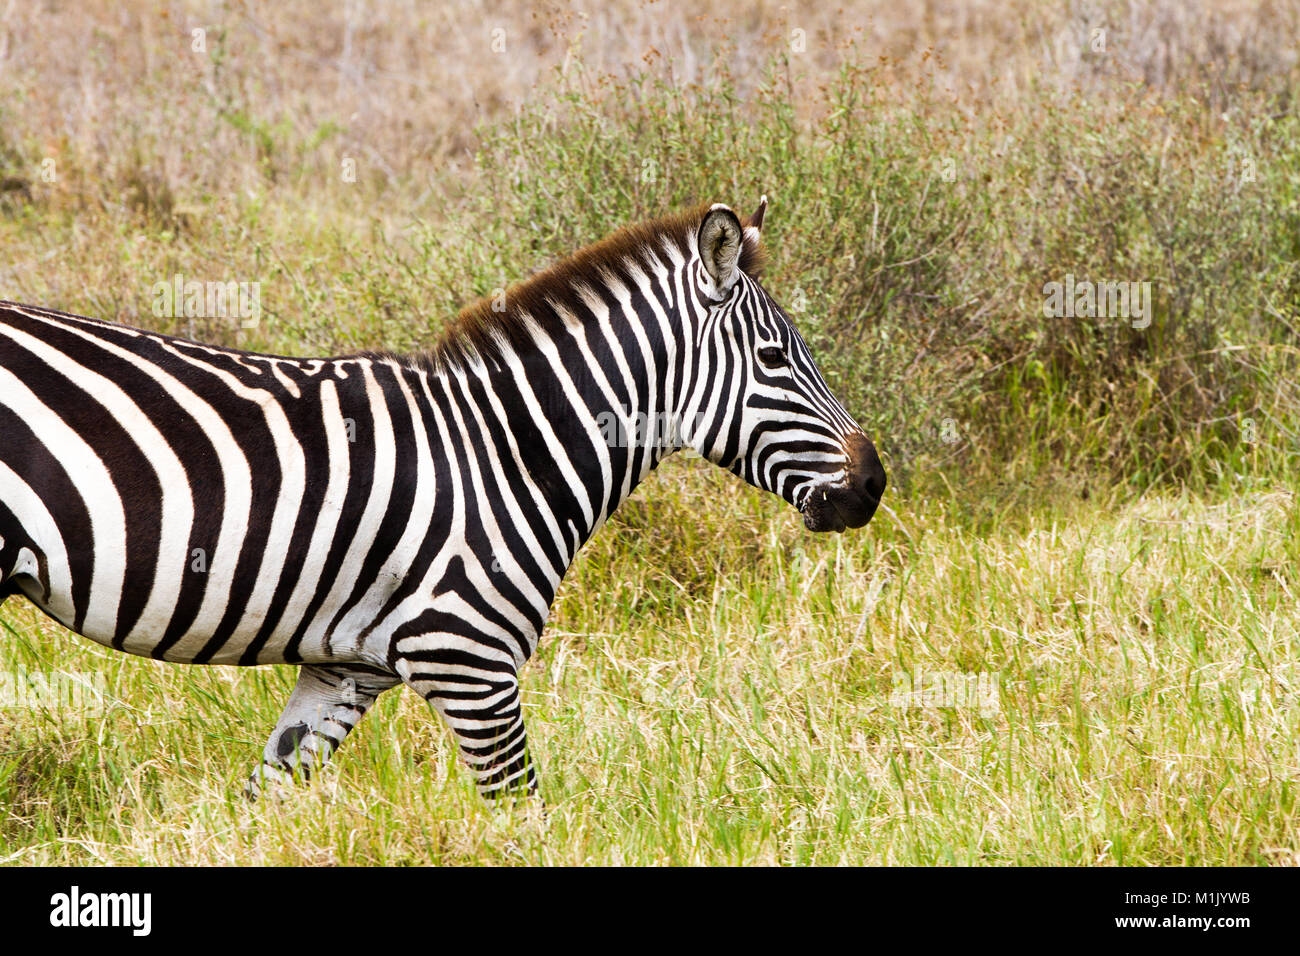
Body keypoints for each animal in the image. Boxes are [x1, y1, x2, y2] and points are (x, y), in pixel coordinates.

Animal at [0, 198, 886, 800]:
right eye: (775, 359)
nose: (872, 485)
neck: (508, 451)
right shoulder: (468, 660)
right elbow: (521, 813)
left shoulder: (341, 670)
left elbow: (265, 800)